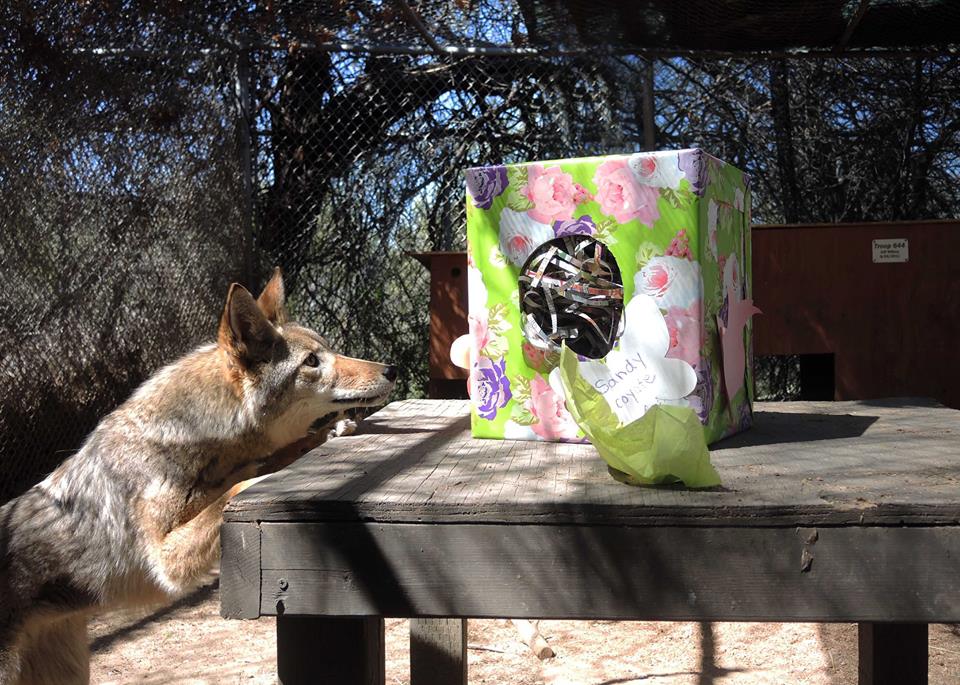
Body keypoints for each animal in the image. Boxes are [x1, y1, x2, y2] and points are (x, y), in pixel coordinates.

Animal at [0, 269, 396, 684]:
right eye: (312, 361)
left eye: (329, 351)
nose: (392, 370)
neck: (199, 439)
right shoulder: (167, 559)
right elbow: (236, 488)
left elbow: (269, 460)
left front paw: (328, 434)